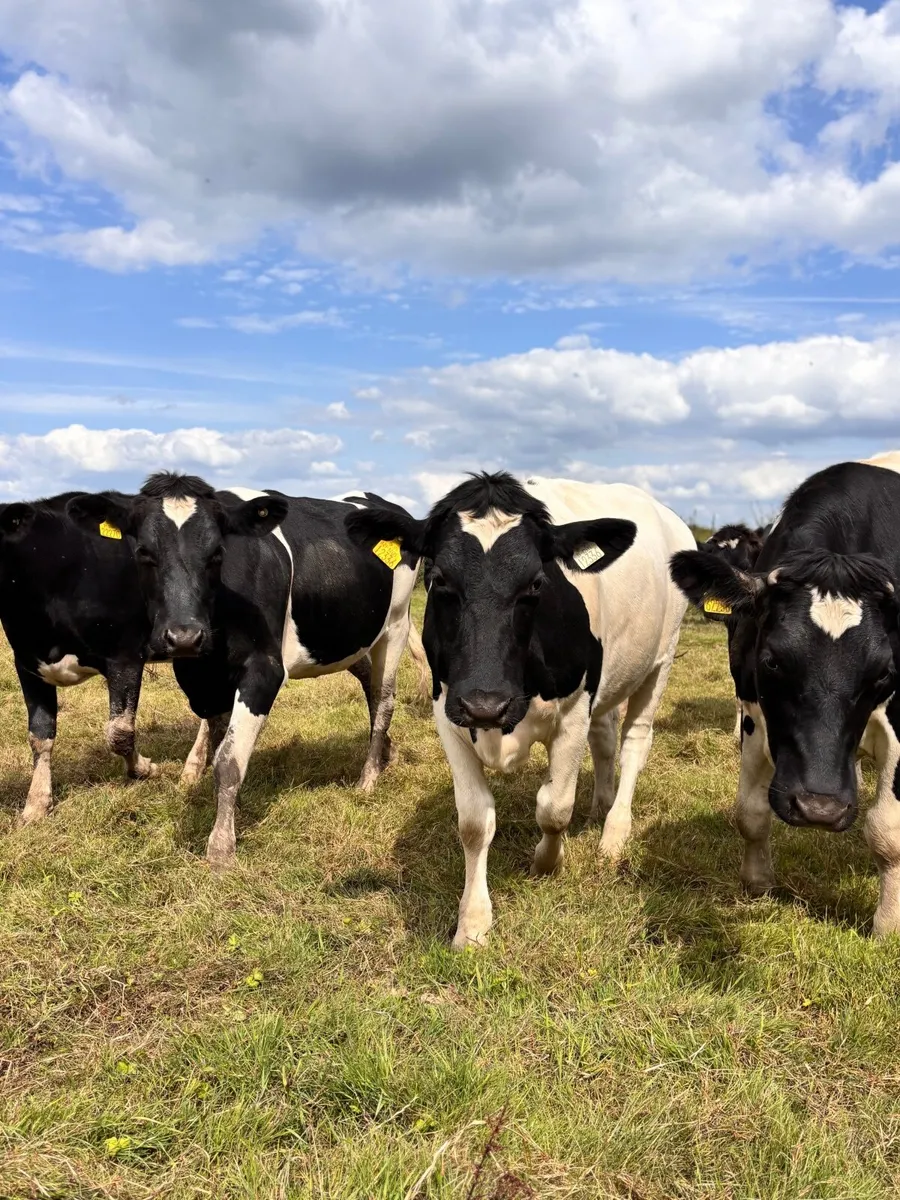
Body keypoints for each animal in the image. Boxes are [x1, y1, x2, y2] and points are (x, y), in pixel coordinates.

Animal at [0, 491, 158, 824]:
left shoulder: (125, 655)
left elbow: (119, 731)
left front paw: (142, 768)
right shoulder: (27, 663)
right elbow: (40, 734)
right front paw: (36, 804)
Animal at [67, 473, 423, 865]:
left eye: (218, 553)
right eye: (144, 552)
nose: (185, 636)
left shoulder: (264, 670)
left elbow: (229, 759)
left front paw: (221, 847)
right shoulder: (201, 680)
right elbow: (217, 734)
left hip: (395, 625)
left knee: (384, 699)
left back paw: (368, 778)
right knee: (368, 686)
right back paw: (386, 753)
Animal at [344, 472, 695, 948]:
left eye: (536, 584)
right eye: (439, 578)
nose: (486, 704)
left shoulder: (573, 713)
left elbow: (554, 808)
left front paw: (547, 863)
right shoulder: (448, 713)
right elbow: (475, 822)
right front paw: (473, 923)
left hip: (661, 659)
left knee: (634, 743)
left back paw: (614, 832)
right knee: (605, 738)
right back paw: (600, 807)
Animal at [669, 453, 900, 936]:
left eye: (884, 672)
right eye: (772, 660)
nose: (819, 809)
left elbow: (887, 830)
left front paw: (888, 925)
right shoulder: (754, 711)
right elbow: (750, 812)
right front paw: (758, 884)